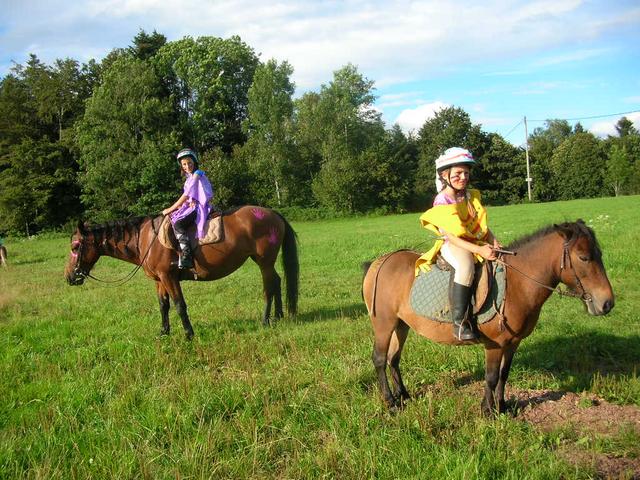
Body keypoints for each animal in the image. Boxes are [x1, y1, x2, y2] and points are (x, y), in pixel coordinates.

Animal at [64, 206, 299, 339]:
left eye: (75, 247)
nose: (69, 277)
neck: (147, 239)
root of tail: (273, 213)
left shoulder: (169, 277)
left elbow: (179, 305)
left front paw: (188, 334)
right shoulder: (159, 279)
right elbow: (163, 305)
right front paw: (164, 332)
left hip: (264, 262)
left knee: (268, 287)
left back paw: (265, 320)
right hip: (266, 262)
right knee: (277, 281)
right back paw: (279, 315)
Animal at [362, 220, 614, 416]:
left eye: (600, 254)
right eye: (584, 257)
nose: (607, 303)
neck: (518, 284)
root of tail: (379, 262)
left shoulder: (513, 343)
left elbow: (503, 374)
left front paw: (502, 406)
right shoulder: (495, 345)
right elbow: (491, 376)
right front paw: (487, 411)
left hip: (401, 325)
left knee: (393, 359)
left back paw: (403, 395)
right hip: (384, 325)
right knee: (380, 359)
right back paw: (390, 402)